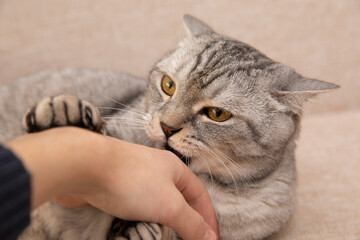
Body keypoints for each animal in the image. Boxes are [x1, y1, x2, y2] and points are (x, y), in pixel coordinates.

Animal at [0, 15, 338, 240]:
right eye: (168, 85)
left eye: (217, 114)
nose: (166, 126)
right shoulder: (59, 216)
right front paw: (66, 117)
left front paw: (137, 230)